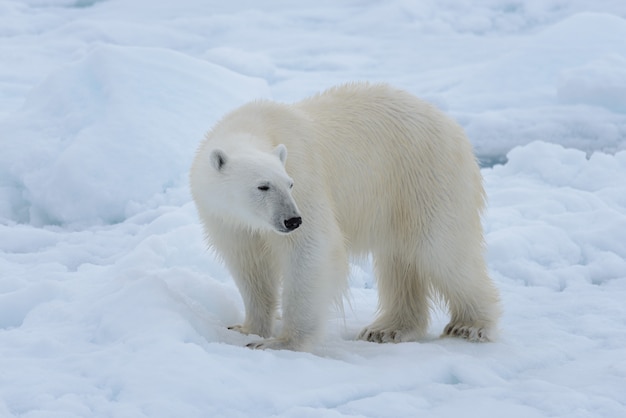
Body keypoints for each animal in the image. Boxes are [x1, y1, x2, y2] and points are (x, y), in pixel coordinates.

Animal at [189, 81, 498, 350]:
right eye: (262, 186)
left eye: (289, 184)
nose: (292, 220)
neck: (252, 126)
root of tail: (452, 125)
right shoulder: (226, 219)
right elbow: (249, 266)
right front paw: (246, 328)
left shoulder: (305, 174)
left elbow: (310, 249)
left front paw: (281, 342)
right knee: (400, 260)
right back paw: (387, 329)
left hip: (427, 177)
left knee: (443, 251)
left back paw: (470, 325)